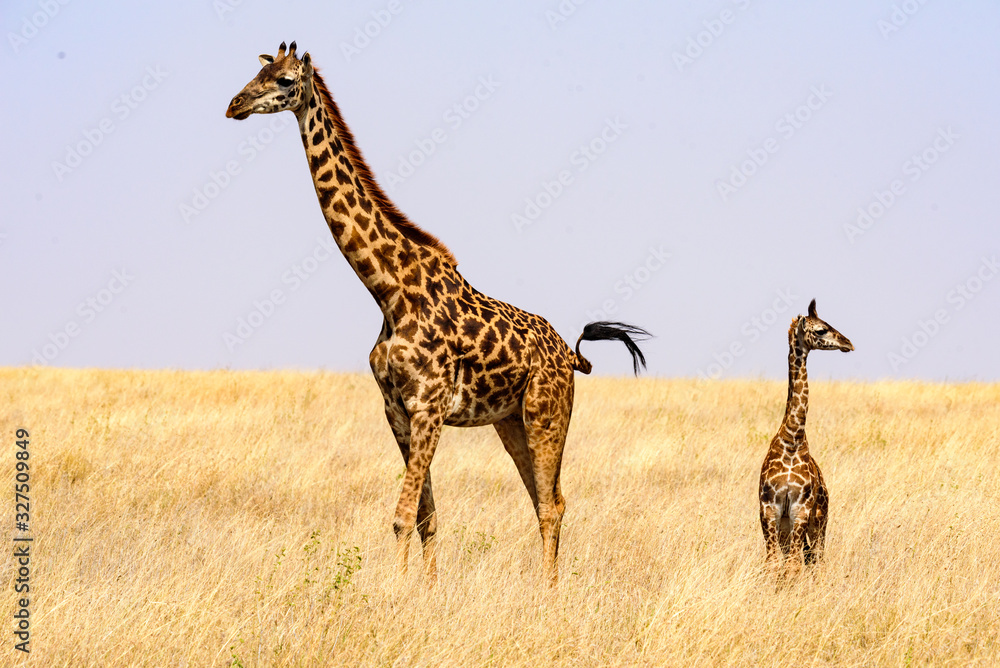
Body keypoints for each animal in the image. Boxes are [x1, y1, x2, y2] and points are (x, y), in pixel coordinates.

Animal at [226, 42, 652, 584]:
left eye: (283, 80)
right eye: (256, 72)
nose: (234, 105)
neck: (388, 290)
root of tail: (570, 355)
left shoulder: (429, 405)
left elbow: (402, 515)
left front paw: (396, 592)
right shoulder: (396, 409)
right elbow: (426, 515)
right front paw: (425, 589)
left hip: (547, 411)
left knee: (553, 503)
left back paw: (549, 591)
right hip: (510, 421)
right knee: (543, 499)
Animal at [758, 299, 853, 577]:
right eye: (821, 329)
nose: (848, 343)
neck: (792, 439)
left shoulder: (801, 510)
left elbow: (793, 566)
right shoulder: (770, 511)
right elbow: (773, 564)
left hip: (820, 519)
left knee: (816, 558)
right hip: (786, 526)